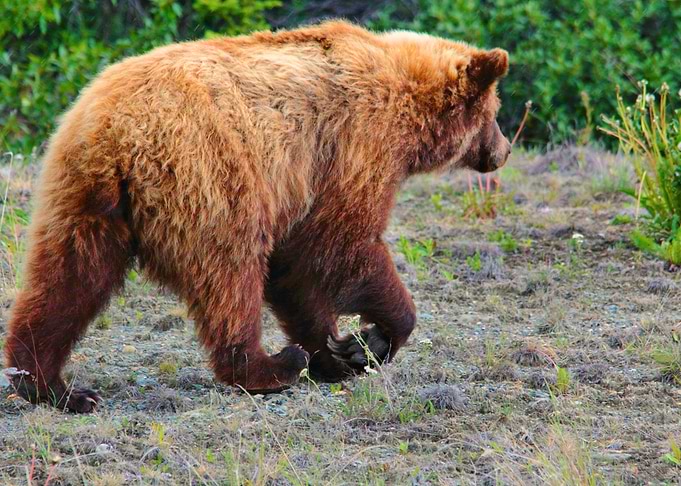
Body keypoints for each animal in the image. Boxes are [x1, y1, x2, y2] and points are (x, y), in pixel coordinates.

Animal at [4, 21, 511, 412]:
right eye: (495, 112)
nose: (504, 150)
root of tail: (116, 129)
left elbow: (296, 272)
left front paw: (338, 352)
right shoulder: (356, 144)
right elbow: (341, 244)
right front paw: (371, 338)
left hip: (82, 195)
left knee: (68, 278)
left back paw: (52, 386)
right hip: (210, 174)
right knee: (229, 273)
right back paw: (269, 366)